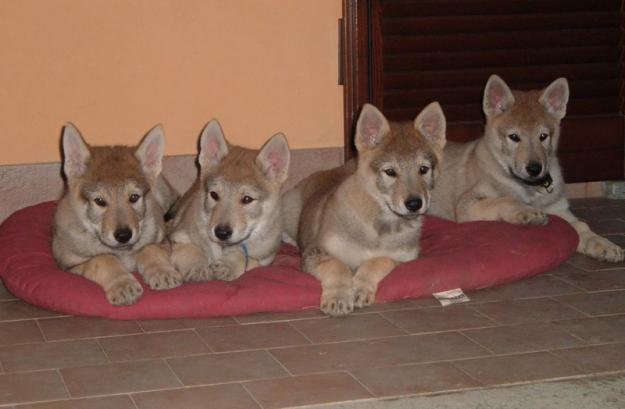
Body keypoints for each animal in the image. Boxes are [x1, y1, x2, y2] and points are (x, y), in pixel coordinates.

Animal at [54, 122, 182, 304]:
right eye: (100, 201)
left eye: (134, 197)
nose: (123, 235)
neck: (123, 252)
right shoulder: (69, 265)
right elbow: (103, 259)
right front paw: (123, 284)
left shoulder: (162, 242)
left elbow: (149, 248)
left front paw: (162, 271)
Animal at [167, 119, 292, 282]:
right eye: (214, 195)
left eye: (247, 199)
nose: (222, 233)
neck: (223, 247)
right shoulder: (178, 238)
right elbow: (192, 250)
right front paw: (198, 267)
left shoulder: (265, 259)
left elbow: (246, 258)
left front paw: (228, 266)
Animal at [282, 102, 444, 316]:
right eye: (390, 172)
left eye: (423, 169)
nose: (415, 204)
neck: (381, 227)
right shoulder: (315, 252)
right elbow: (337, 265)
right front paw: (338, 297)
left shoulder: (405, 258)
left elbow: (378, 261)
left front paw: (360, 288)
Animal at [432, 75, 620, 262]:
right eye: (514, 137)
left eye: (543, 136)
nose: (534, 168)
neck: (529, 188)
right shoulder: (466, 205)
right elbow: (505, 199)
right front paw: (526, 211)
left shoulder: (558, 209)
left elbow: (581, 226)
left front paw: (603, 244)